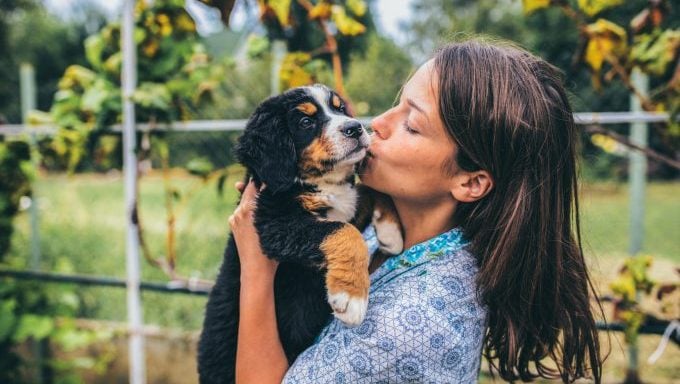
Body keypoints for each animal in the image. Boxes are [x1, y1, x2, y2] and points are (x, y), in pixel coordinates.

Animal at [198, 85, 404, 384]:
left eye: (340, 109)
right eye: (306, 122)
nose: (354, 128)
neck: (319, 182)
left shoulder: (345, 207)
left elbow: (367, 191)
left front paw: (391, 231)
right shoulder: (276, 224)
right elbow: (343, 232)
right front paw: (351, 297)